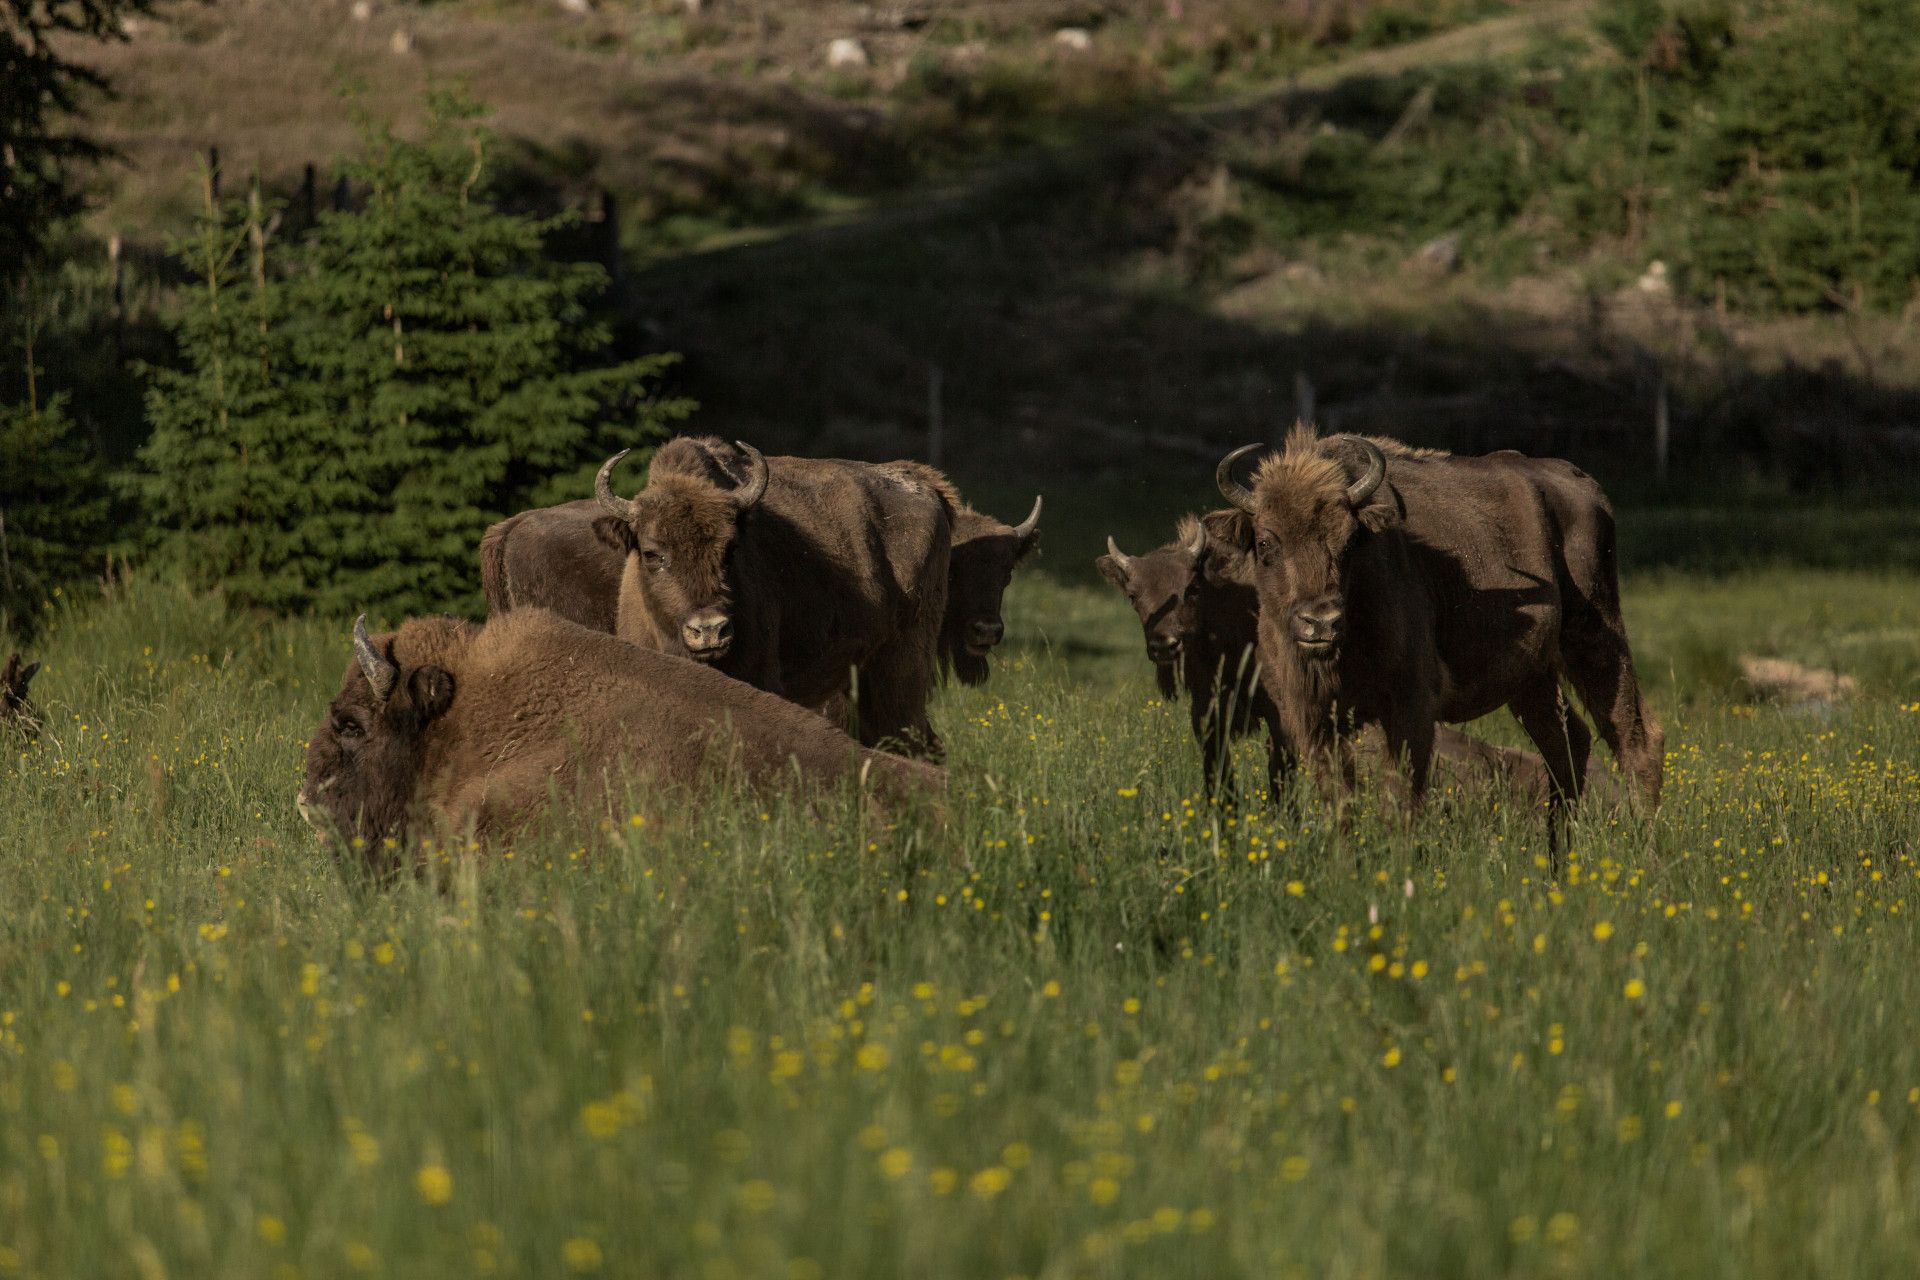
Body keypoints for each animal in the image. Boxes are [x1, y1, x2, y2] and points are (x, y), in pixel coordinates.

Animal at [1213, 427, 1666, 832]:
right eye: (1266, 543)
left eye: (1349, 541)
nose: (1321, 622)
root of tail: (1585, 487)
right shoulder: (1312, 717)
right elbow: (1340, 804)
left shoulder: (1410, 709)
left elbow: (1401, 802)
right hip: (1532, 677)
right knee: (1568, 743)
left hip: (1596, 637)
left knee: (1635, 739)